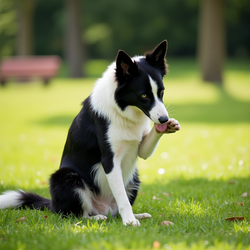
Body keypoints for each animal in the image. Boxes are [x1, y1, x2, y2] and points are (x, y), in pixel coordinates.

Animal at [0, 40, 180, 226]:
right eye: (144, 95)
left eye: (161, 92)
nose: (164, 119)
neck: (122, 110)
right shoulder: (110, 160)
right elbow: (122, 197)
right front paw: (129, 222)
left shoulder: (140, 148)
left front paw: (169, 126)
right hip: (68, 178)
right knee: (74, 214)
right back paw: (97, 218)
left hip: (134, 178)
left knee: (113, 210)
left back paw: (136, 215)